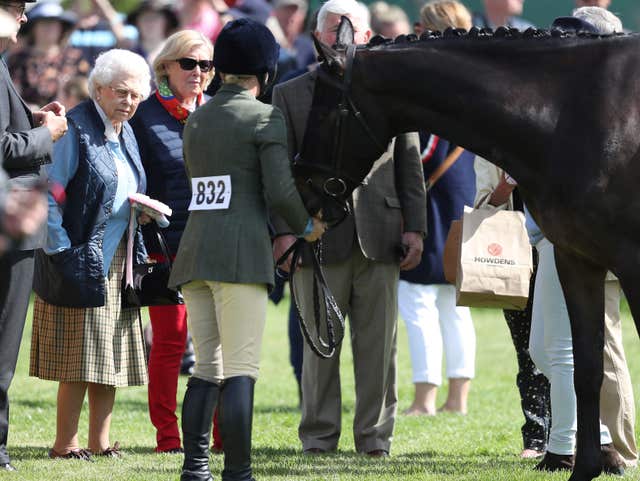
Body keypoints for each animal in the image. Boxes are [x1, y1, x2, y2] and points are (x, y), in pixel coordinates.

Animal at [296, 24, 640, 480]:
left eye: (321, 110)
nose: (305, 191)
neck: (573, 111)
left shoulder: (632, 264)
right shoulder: (577, 259)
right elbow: (586, 370)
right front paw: (584, 468)